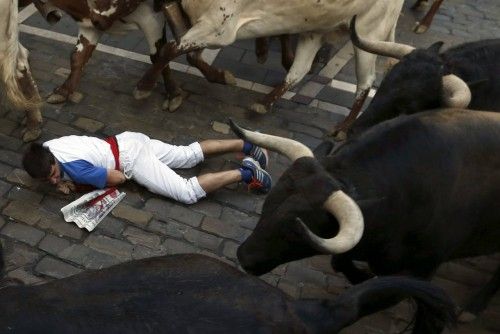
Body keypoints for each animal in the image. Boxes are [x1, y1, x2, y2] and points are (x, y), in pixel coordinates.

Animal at [234, 109, 500, 318]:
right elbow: (340, 261)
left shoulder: (423, 268)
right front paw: (362, 277)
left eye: (293, 232)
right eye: (265, 208)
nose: (244, 257)